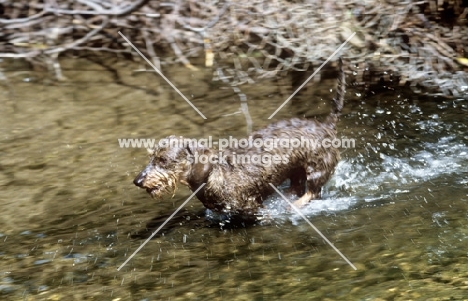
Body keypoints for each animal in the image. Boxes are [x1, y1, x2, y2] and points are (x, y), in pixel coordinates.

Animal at [133, 59, 346, 213]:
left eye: (163, 160)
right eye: (151, 157)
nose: (137, 181)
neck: (214, 173)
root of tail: (326, 124)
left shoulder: (252, 207)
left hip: (317, 168)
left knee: (313, 192)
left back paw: (293, 205)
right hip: (295, 170)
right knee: (298, 187)